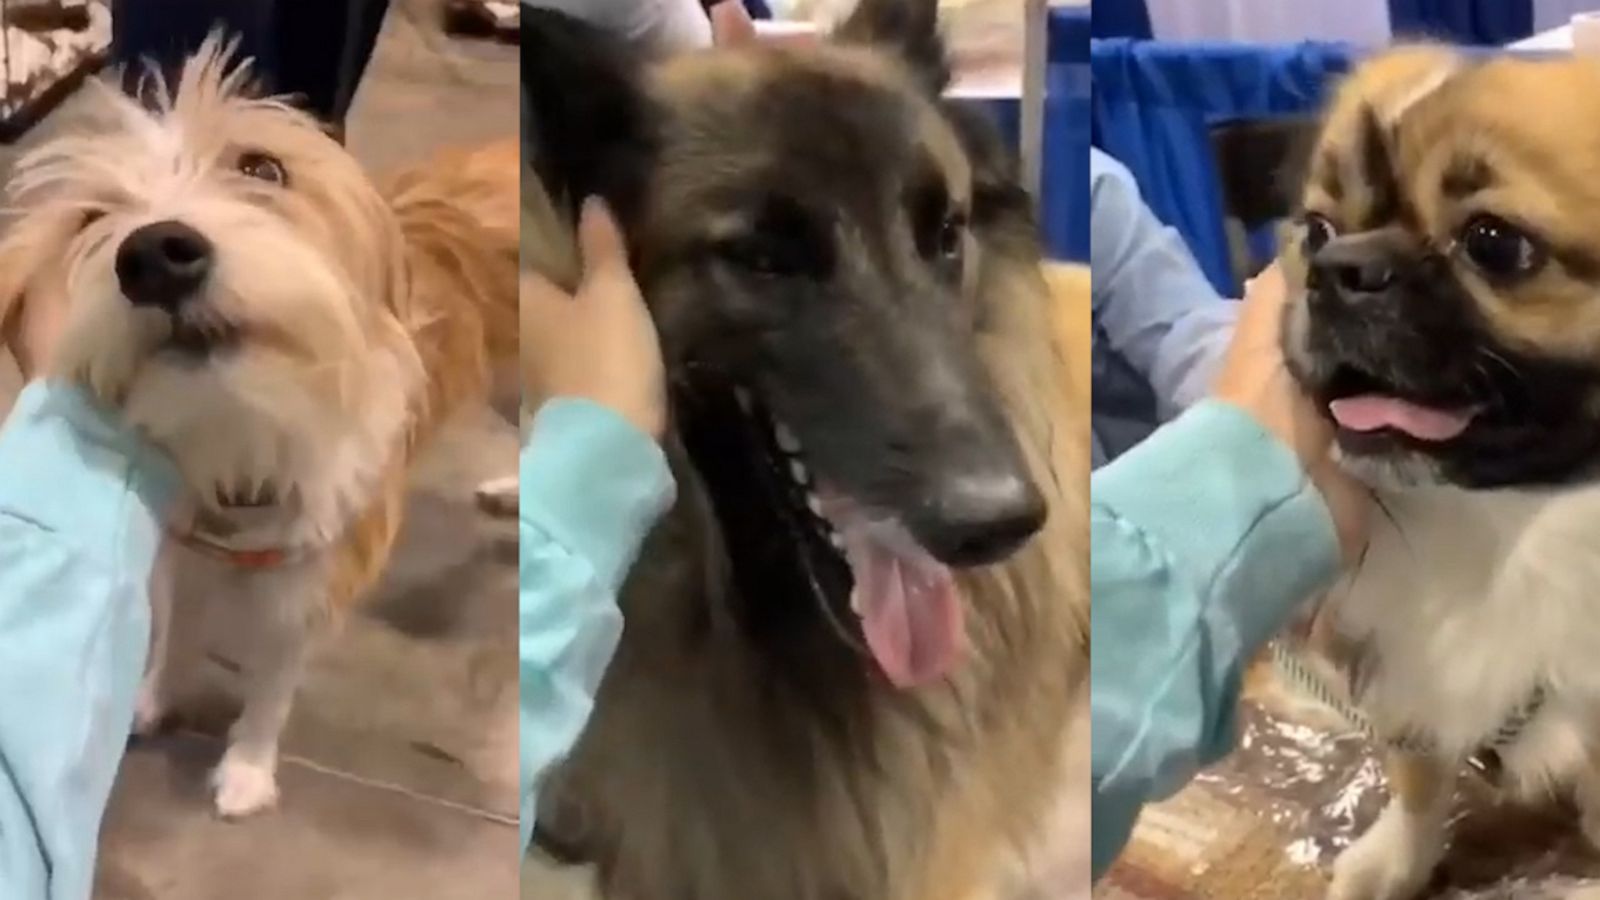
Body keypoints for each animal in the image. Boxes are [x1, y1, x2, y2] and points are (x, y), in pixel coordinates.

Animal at [0, 38, 518, 816]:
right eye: (91, 219)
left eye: (262, 169)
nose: (154, 255)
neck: (238, 435)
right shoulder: (180, 548)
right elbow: (178, 625)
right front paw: (156, 697)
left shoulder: (311, 582)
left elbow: (272, 686)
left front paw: (246, 767)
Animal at [1280, 47, 1600, 896]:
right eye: (1318, 231)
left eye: (1493, 243)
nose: (1338, 268)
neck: (1502, 528)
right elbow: (1420, 780)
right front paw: (1397, 860)